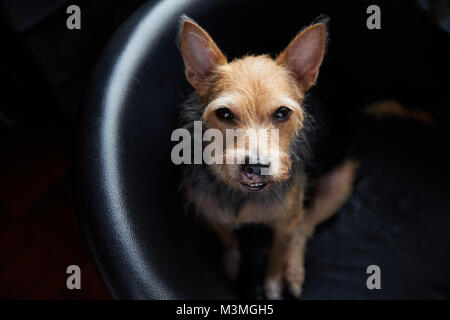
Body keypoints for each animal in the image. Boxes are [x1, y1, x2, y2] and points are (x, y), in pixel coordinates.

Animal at [178, 15, 356, 300]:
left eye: (283, 113)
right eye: (224, 114)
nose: (255, 166)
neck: (242, 194)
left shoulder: (285, 226)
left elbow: (276, 256)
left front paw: (273, 286)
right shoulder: (209, 210)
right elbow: (228, 239)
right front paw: (232, 265)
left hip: (338, 187)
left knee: (304, 228)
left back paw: (293, 272)